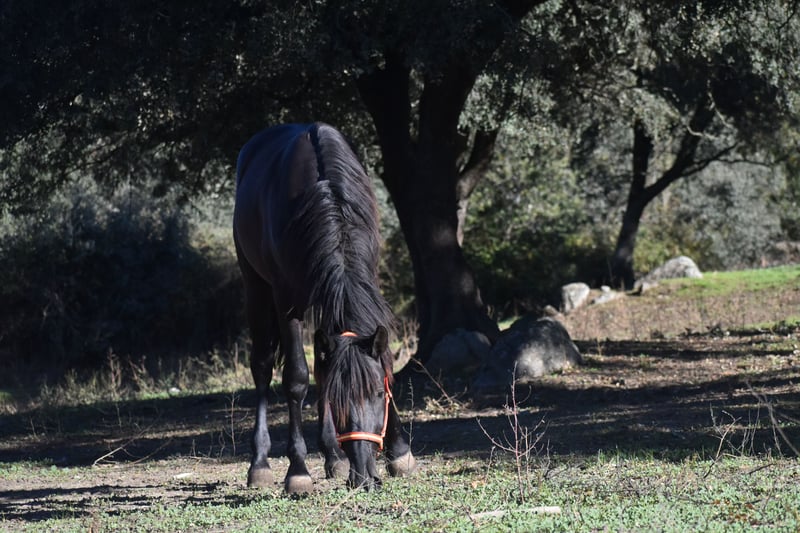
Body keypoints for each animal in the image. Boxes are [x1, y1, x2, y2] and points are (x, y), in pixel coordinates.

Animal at [233, 122, 416, 493]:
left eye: (378, 393)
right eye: (339, 400)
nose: (364, 476)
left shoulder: (368, 278)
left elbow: (382, 363)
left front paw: (400, 452)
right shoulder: (285, 301)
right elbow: (296, 378)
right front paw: (298, 472)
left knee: (320, 363)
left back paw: (333, 457)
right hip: (256, 286)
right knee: (262, 366)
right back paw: (260, 465)